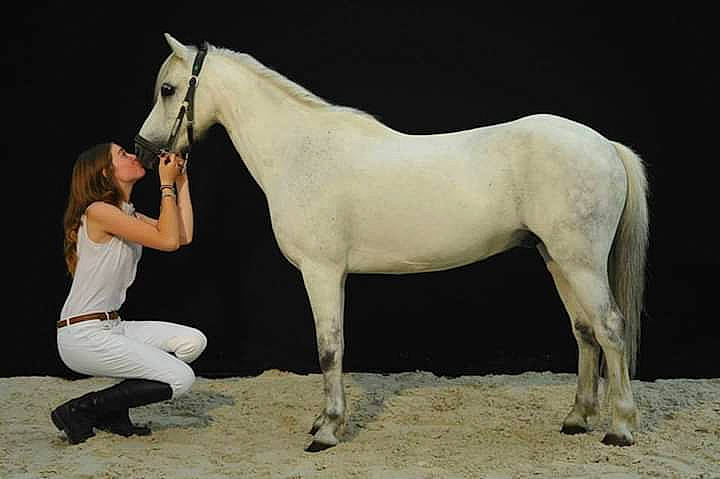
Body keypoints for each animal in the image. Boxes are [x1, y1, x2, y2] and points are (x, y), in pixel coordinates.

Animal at [137, 34, 649, 452]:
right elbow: (334, 347)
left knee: (610, 328)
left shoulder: (321, 271)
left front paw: (327, 431)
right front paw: (325, 420)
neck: (301, 152)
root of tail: (604, 144)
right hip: (556, 259)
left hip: (580, 263)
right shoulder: (334, 275)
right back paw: (577, 418)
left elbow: (328, 347)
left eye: (168, 90)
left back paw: (621, 428)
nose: (144, 151)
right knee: (584, 332)